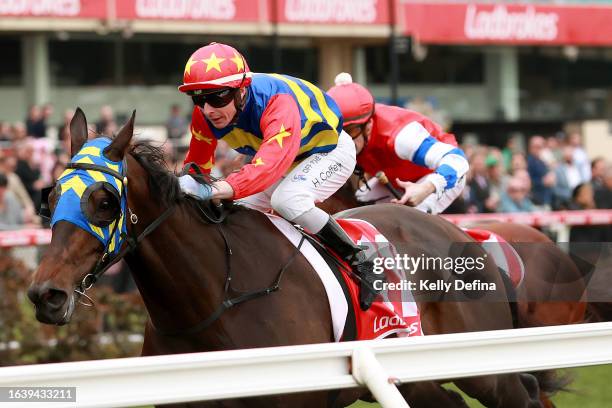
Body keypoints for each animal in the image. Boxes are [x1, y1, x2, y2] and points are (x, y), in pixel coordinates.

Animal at [28, 109, 544, 408]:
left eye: (104, 201)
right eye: (49, 197)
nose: (45, 295)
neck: (213, 299)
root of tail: (462, 232)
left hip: (487, 370)